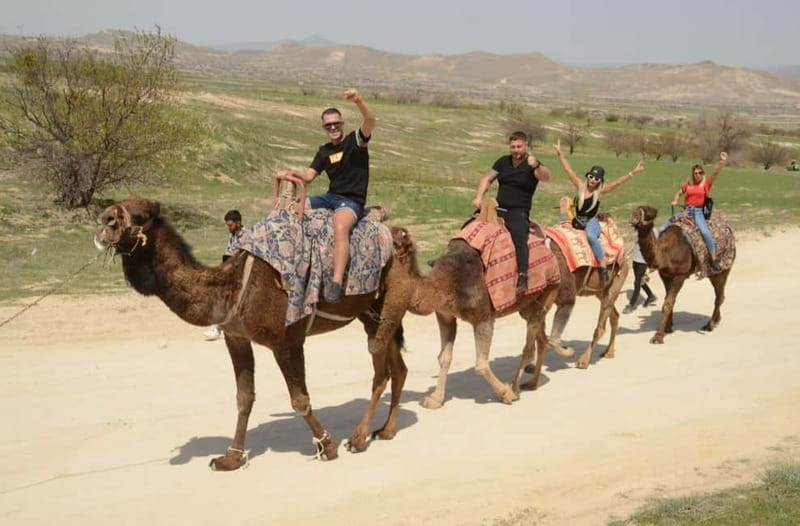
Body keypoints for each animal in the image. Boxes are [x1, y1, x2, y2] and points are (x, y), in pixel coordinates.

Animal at [94, 197, 408, 470]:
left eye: (142, 214)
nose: (104, 220)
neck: (231, 287)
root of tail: (396, 236)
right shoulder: (237, 337)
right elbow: (244, 398)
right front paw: (230, 458)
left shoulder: (286, 341)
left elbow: (299, 399)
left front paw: (326, 446)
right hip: (371, 313)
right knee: (398, 368)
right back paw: (386, 430)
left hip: (384, 304)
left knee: (381, 373)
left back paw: (358, 439)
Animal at [387, 226, 559, 409]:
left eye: (394, 243)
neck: (444, 283)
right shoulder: (445, 316)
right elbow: (444, 357)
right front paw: (434, 399)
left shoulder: (483, 318)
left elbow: (481, 365)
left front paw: (505, 393)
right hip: (528, 305)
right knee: (540, 338)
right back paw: (532, 383)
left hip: (549, 290)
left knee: (529, 346)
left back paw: (515, 389)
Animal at [630, 205, 734, 344]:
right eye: (635, 211)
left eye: (648, 211)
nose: (633, 218)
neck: (665, 253)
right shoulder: (665, 274)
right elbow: (668, 300)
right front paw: (668, 327)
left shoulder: (680, 274)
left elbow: (668, 303)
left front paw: (658, 336)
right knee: (720, 295)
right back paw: (716, 320)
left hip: (723, 269)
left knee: (719, 296)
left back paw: (709, 325)